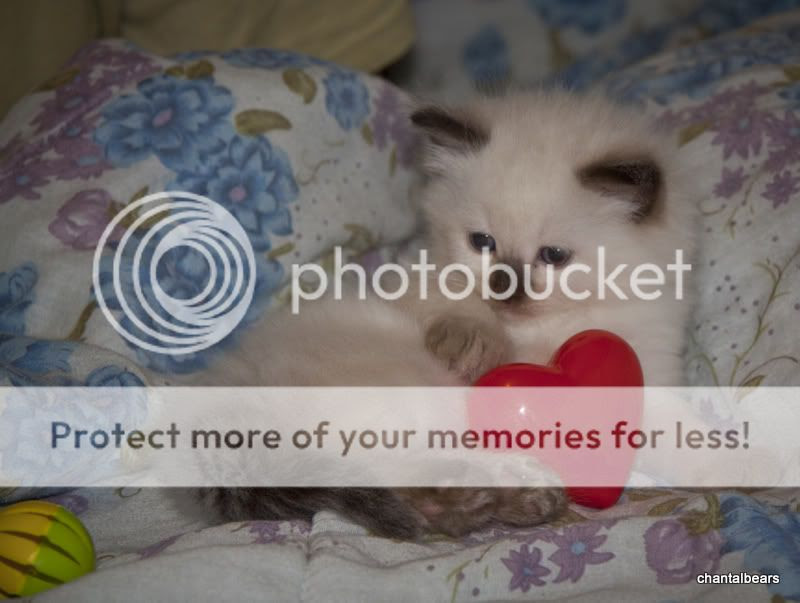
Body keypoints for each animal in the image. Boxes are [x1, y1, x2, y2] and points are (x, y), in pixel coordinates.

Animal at [191, 88, 700, 539]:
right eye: (482, 242)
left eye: (554, 256)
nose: (504, 288)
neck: (544, 330)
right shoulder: (425, 284)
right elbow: (458, 306)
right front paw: (475, 343)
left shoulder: (647, 371)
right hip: (409, 390)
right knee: (399, 479)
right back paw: (507, 499)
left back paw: (517, 500)